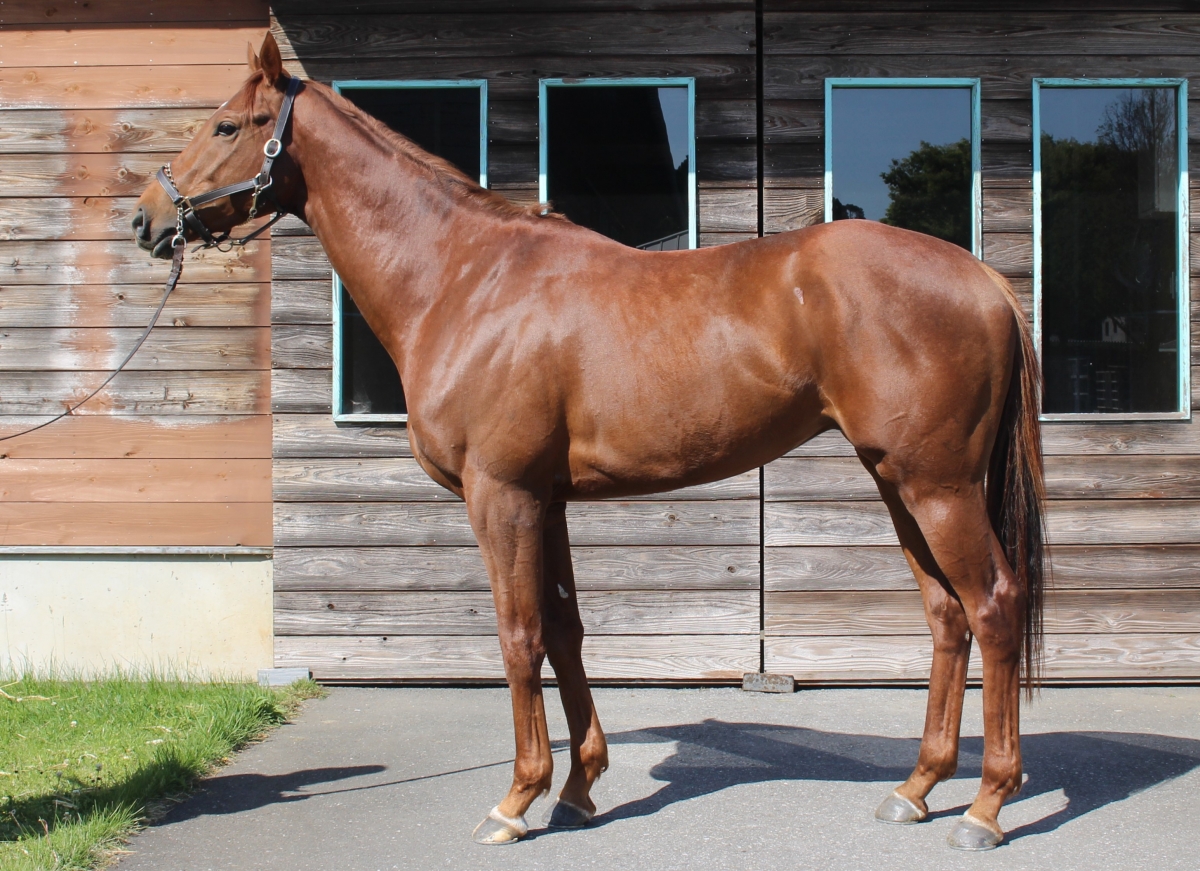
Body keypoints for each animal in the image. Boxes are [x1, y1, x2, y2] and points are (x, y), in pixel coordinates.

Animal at [132, 32, 1046, 852]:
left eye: (227, 124)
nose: (146, 217)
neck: (465, 279)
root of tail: (983, 279)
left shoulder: (500, 495)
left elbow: (518, 635)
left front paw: (516, 799)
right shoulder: (549, 501)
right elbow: (566, 631)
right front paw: (577, 788)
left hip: (938, 486)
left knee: (994, 604)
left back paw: (985, 807)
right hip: (899, 482)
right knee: (946, 613)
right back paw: (917, 787)